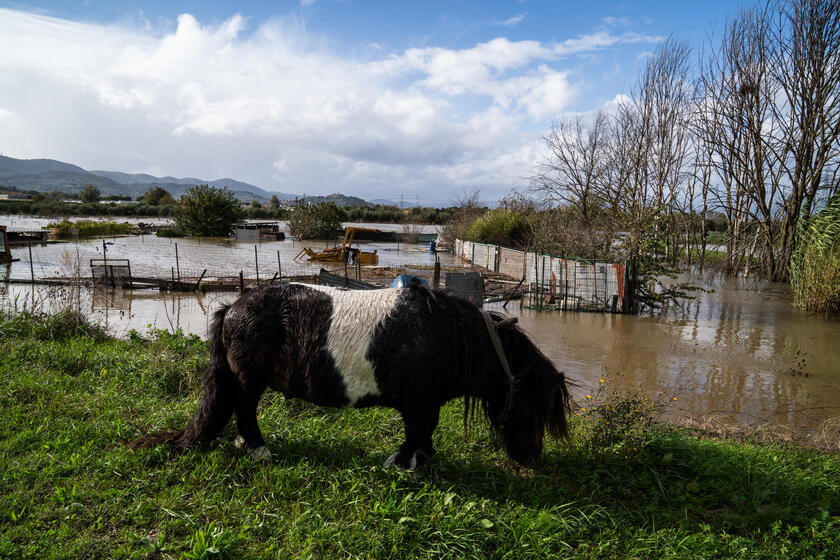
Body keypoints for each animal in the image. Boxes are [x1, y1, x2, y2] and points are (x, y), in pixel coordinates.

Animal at [130, 280, 572, 468]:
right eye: (532, 404)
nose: (532, 458)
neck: (445, 335)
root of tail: (233, 307)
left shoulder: (425, 403)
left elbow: (425, 432)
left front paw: (424, 457)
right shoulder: (419, 405)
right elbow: (417, 431)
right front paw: (404, 462)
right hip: (248, 381)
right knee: (245, 409)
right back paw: (257, 448)